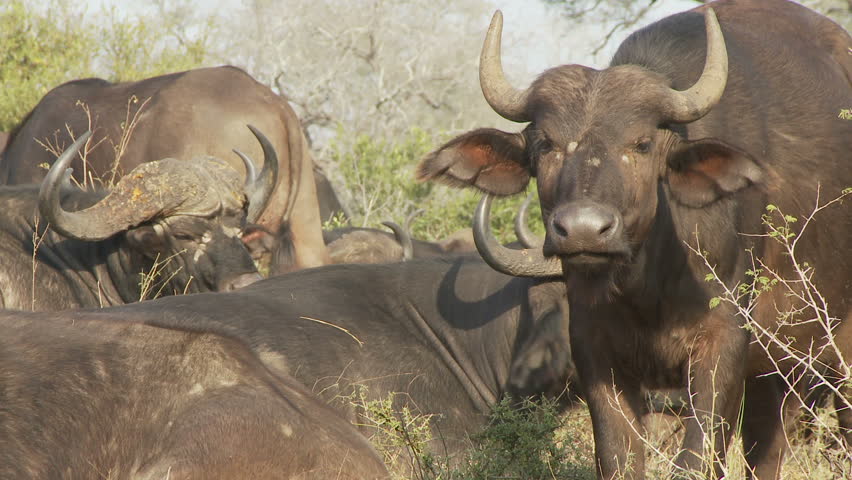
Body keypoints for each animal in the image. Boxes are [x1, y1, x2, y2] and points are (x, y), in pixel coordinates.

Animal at [418, 0, 851, 478]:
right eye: (545, 144)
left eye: (642, 144)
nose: (583, 229)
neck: (649, 286)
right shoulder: (595, 349)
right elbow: (617, 457)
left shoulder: (724, 346)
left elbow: (696, 458)